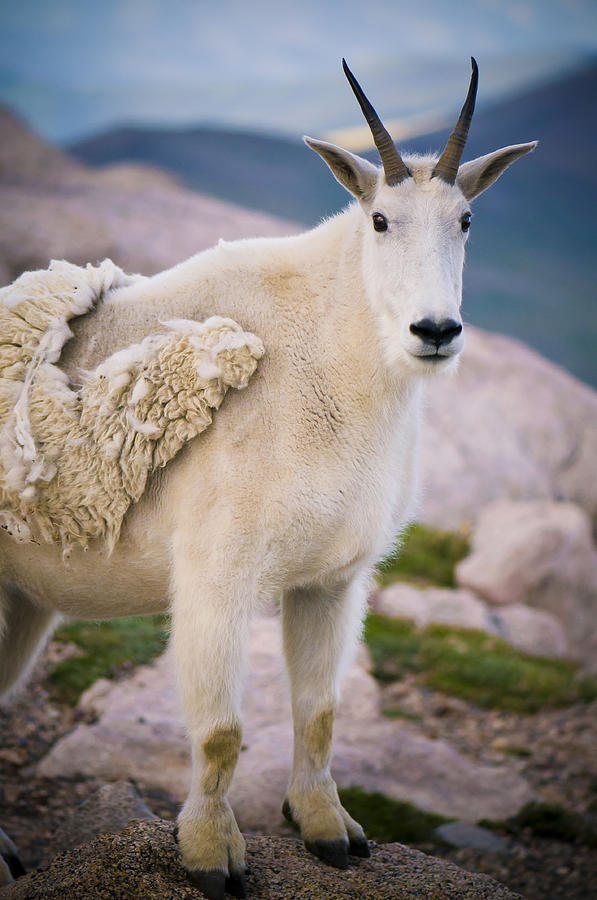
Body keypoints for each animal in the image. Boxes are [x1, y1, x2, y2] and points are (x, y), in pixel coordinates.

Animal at [0, 59, 532, 896]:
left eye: (466, 220)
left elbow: (319, 711)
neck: (330, 361)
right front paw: (210, 856)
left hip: (23, 601)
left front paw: (329, 832)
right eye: (379, 220)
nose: (435, 331)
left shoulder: (331, 580)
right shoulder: (215, 575)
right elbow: (221, 732)